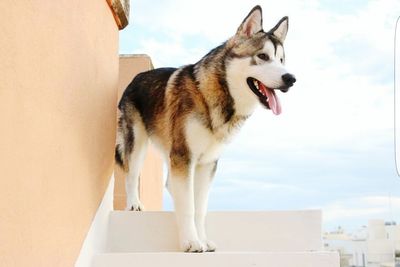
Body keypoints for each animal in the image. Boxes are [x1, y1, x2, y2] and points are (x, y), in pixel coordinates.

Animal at [114, 5, 296, 253]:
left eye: (282, 60)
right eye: (263, 56)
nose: (291, 78)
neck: (216, 93)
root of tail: (137, 77)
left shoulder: (206, 163)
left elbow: (199, 208)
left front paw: (202, 239)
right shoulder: (184, 156)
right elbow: (188, 206)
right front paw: (191, 242)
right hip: (137, 143)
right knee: (131, 174)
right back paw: (133, 204)